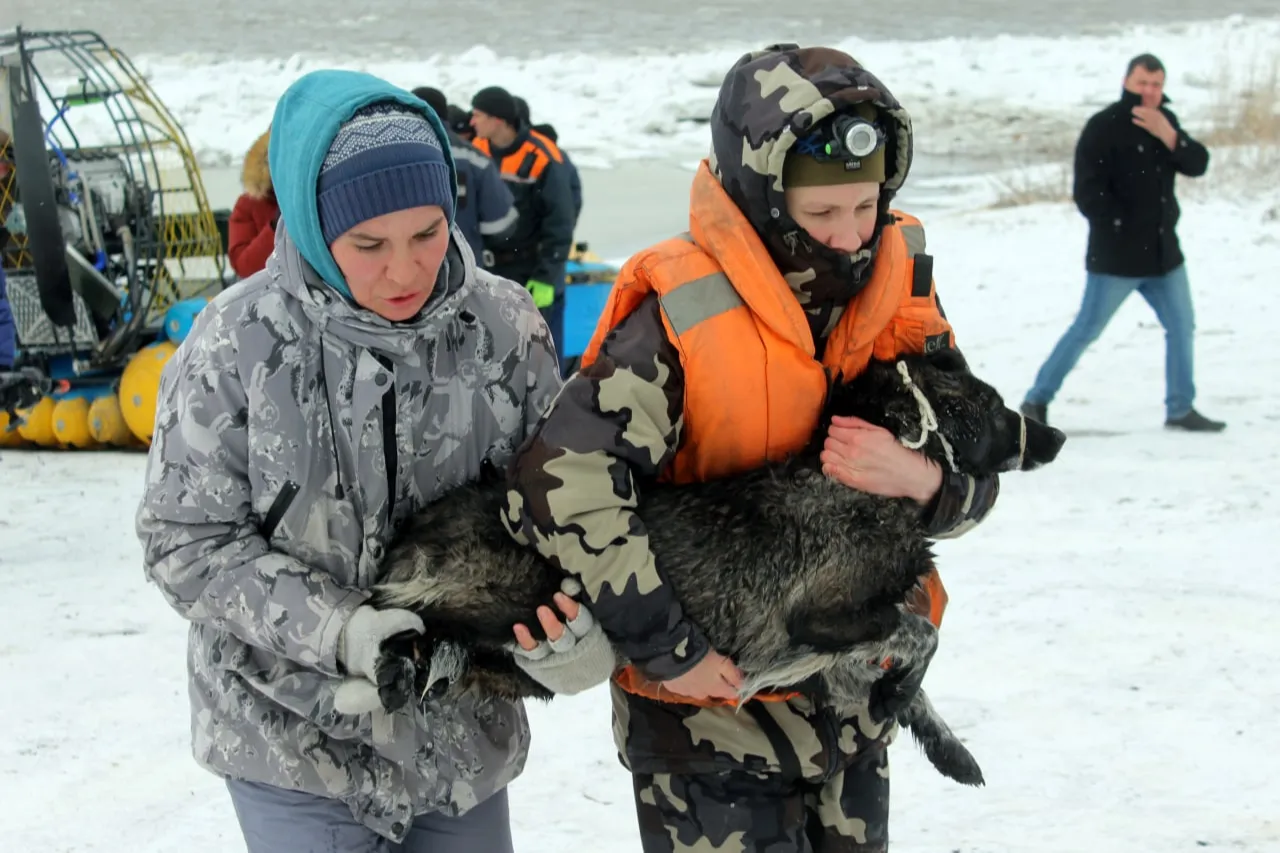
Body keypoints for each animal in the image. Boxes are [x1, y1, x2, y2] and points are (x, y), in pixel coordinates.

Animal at [368, 348, 1059, 783]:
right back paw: (392, 661)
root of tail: (419, 528)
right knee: (410, 617)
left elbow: (914, 672)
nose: (1053, 439)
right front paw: (900, 696)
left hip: (515, 662)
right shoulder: (827, 620)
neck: (857, 489)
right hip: (512, 600)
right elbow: (923, 635)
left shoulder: (840, 655)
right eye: (985, 407)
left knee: (447, 649)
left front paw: (945, 747)